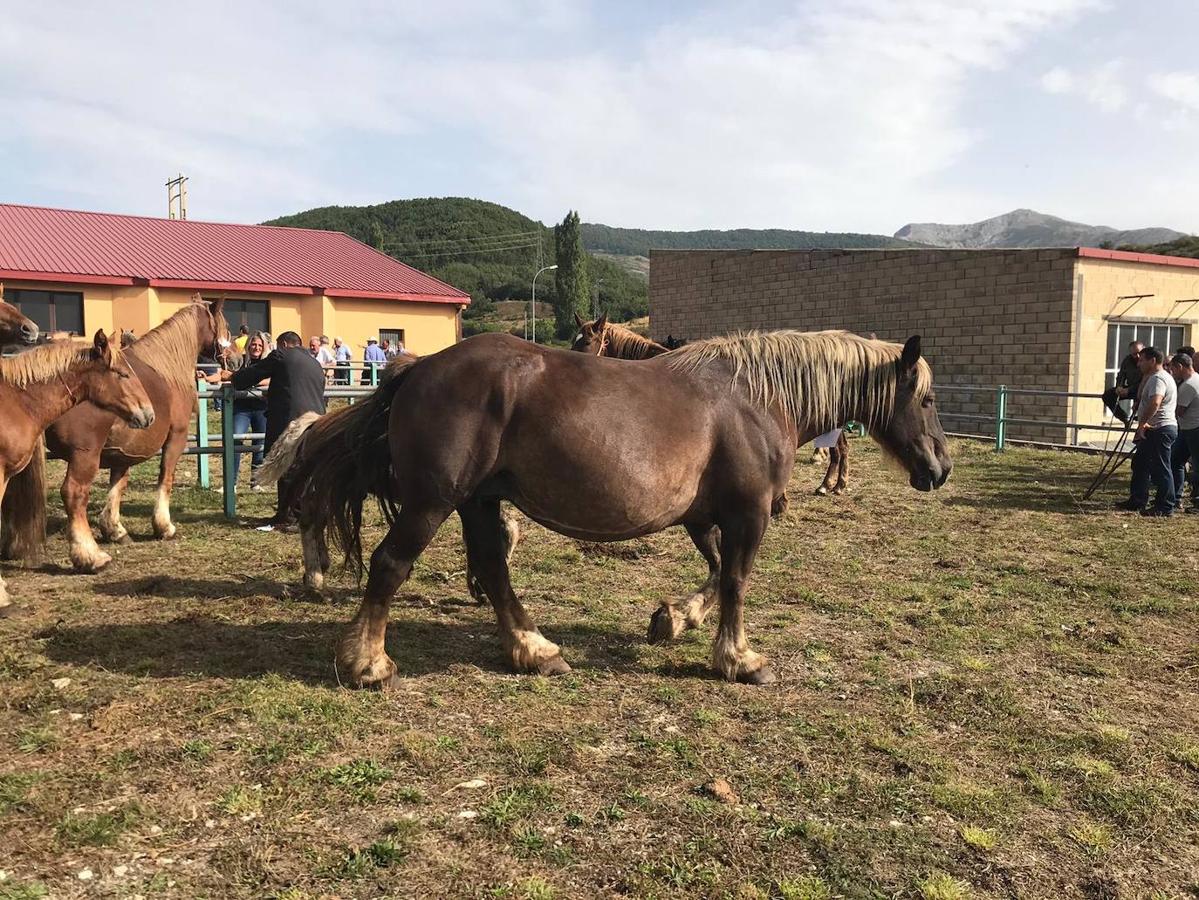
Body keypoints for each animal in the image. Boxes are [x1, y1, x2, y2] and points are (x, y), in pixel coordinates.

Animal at [28, 299, 226, 572]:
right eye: (223, 323)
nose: (233, 358)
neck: (167, 367)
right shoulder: (176, 437)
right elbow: (166, 477)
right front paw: (163, 527)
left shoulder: (122, 451)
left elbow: (118, 484)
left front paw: (115, 530)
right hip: (85, 455)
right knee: (74, 494)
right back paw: (89, 556)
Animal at [292, 330, 954, 690]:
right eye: (926, 398)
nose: (940, 468)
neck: (758, 400)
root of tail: (416, 367)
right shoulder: (747, 514)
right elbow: (736, 581)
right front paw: (739, 659)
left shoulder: (702, 516)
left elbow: (716, 572)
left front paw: (674, 619)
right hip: (433, 503)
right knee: (390, 566)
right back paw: (369, 664)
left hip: (478, 503)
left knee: (494, 570)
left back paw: (533, 650)